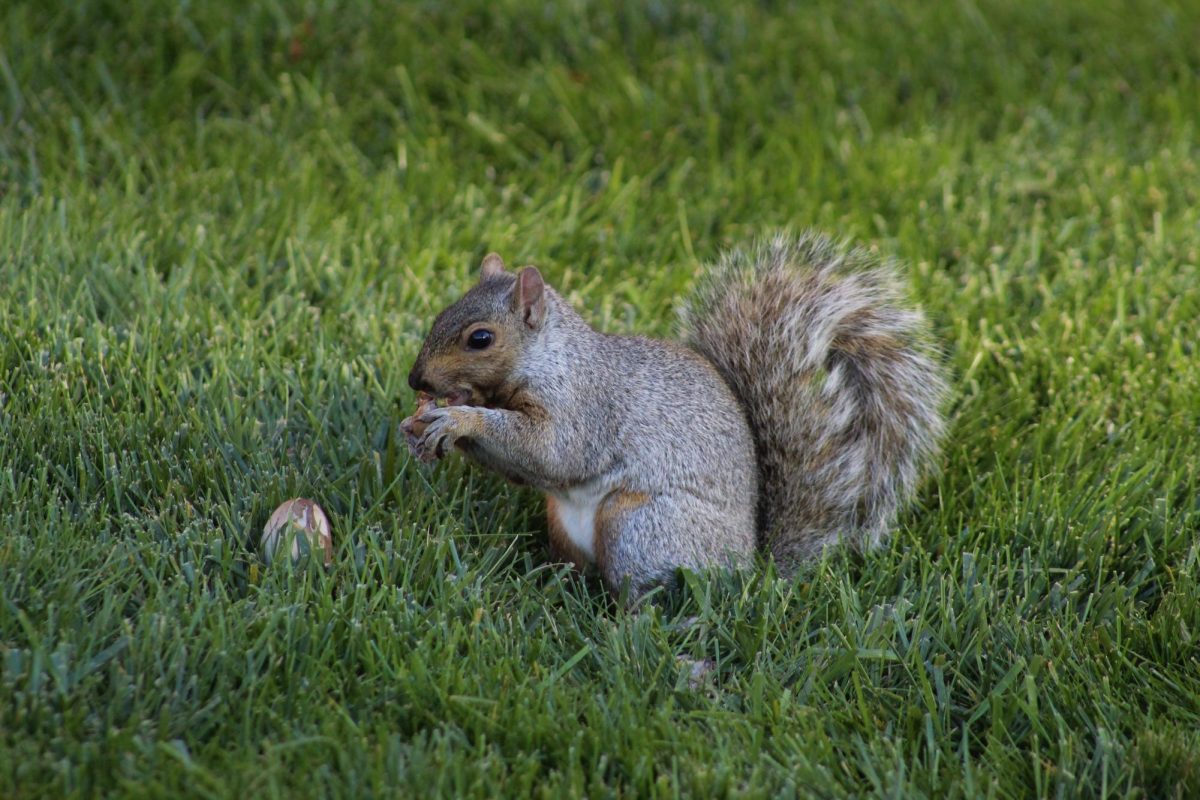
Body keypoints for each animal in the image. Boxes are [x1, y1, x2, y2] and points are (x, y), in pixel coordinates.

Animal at [400, 231, 945, 599]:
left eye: (480, 338)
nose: (415, 380)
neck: (552, 357)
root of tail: (750, 567)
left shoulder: (585, 408)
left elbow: (551, 452)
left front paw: (459, 420)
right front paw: (421, 424)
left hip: (639, 523)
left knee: (641, 591)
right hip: (567, 526)